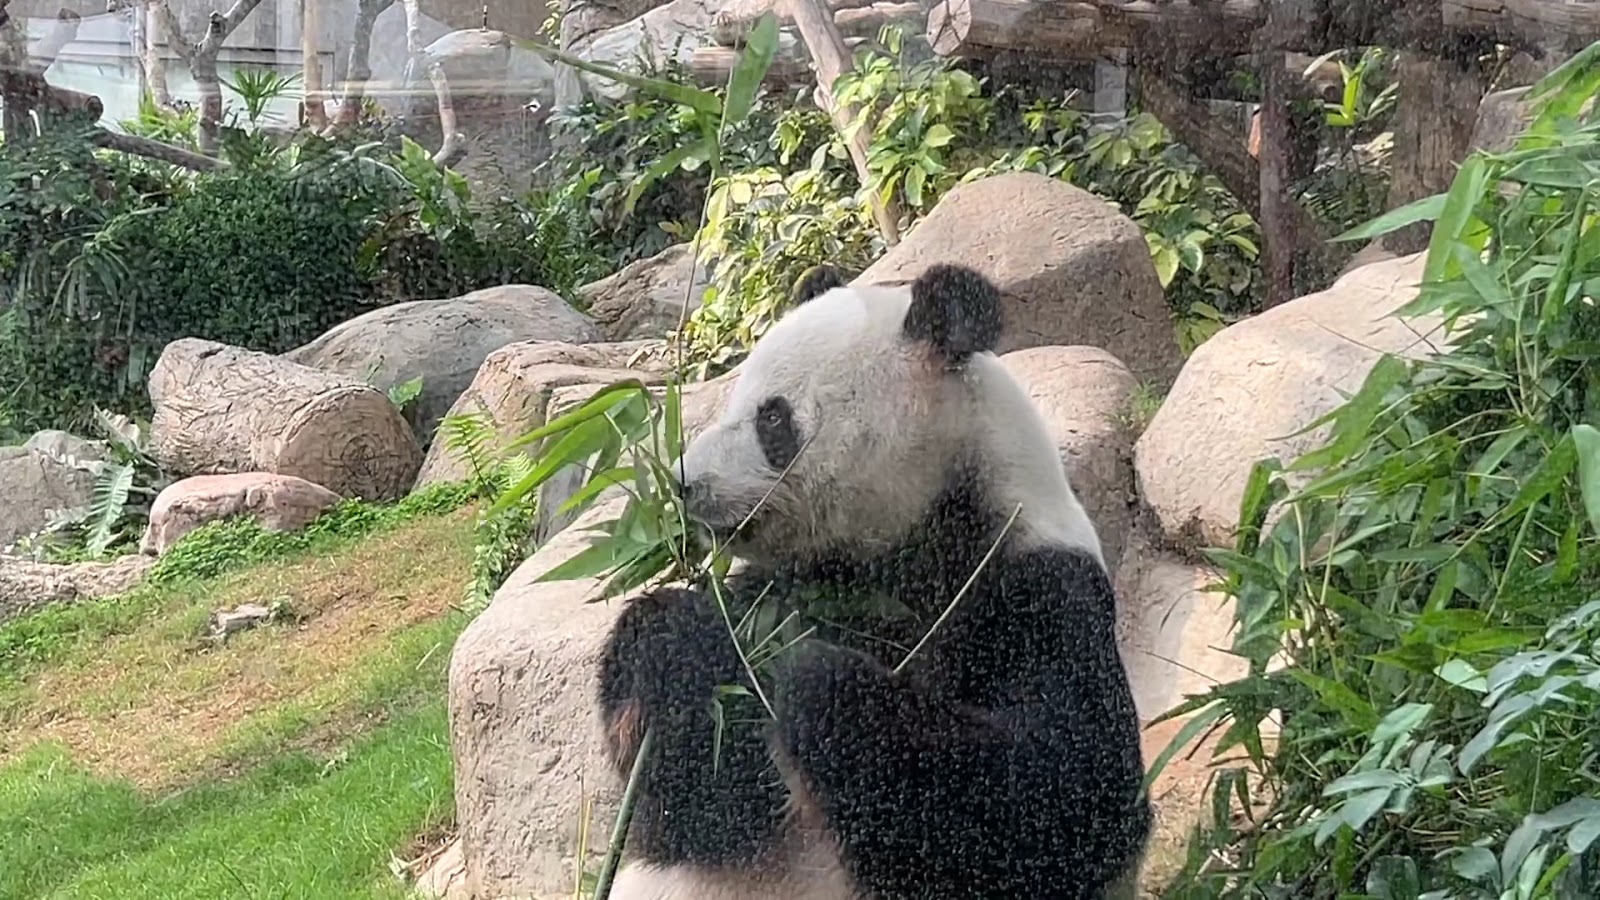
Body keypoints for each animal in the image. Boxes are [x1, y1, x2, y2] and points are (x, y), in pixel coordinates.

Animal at [596, 263, 1152, 900]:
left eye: (772, 418)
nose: (683, 483)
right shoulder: (789, 589)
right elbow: (696, 810)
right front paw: (677, 640)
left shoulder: (1037, 590)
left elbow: (1069, 796)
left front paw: (813, 682)